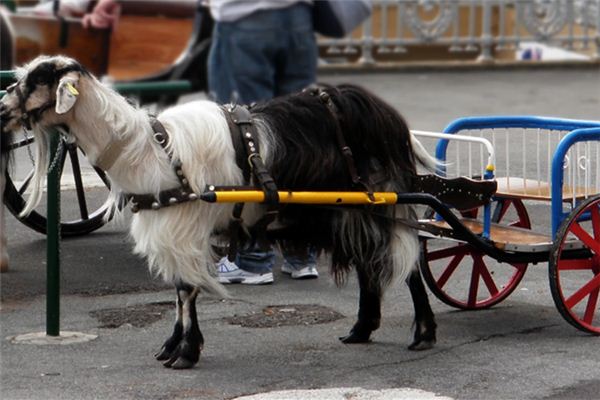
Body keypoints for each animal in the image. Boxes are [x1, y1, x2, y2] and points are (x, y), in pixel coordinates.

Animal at [2, 55, 438, 368]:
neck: (145, 147)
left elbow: (187, 289)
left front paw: (184, 353)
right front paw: (172, 347)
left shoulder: (184, 227)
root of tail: (387, 117)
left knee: (409, 260)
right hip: (351, 210)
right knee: (369, 263)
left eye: (34, 81)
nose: (3, 108)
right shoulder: (171, 228)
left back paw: (423, 334)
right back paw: (361, 329)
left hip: (384, 199)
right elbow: (179, 289)